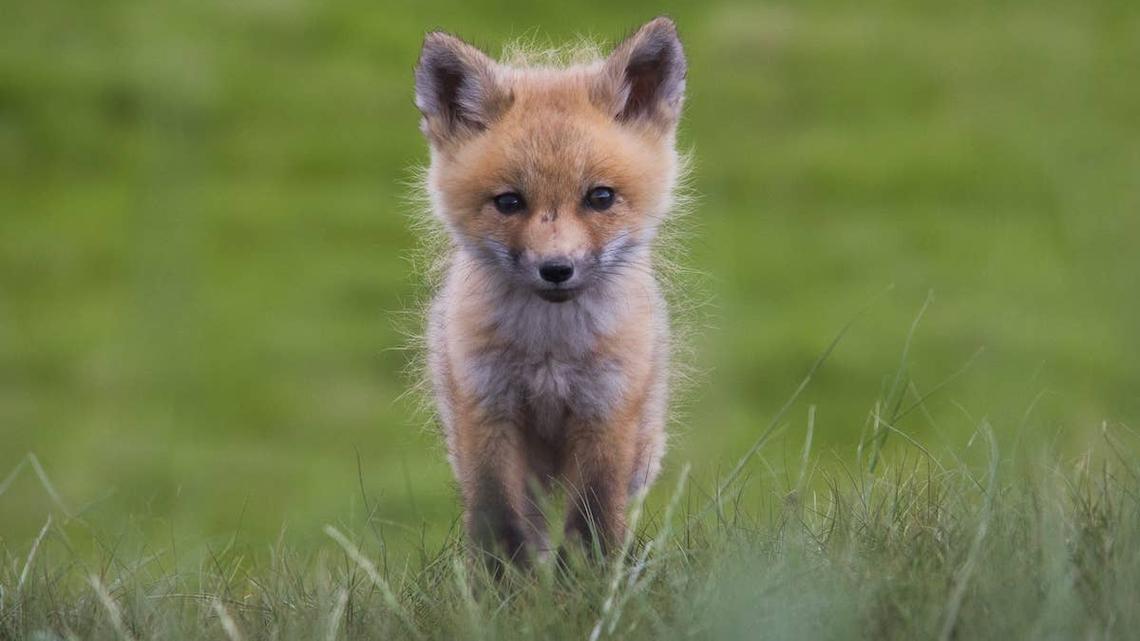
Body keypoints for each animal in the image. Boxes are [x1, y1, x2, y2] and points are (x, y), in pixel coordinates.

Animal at [413, 17, 687, 569]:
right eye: (509, 202)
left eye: (600, 197)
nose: (556, 269)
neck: (549, 353)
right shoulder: (488, 409)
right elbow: (501, 522)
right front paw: (505, 588)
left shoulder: (606, 410)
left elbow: (593, 521)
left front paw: (587, 583)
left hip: (642, 444)